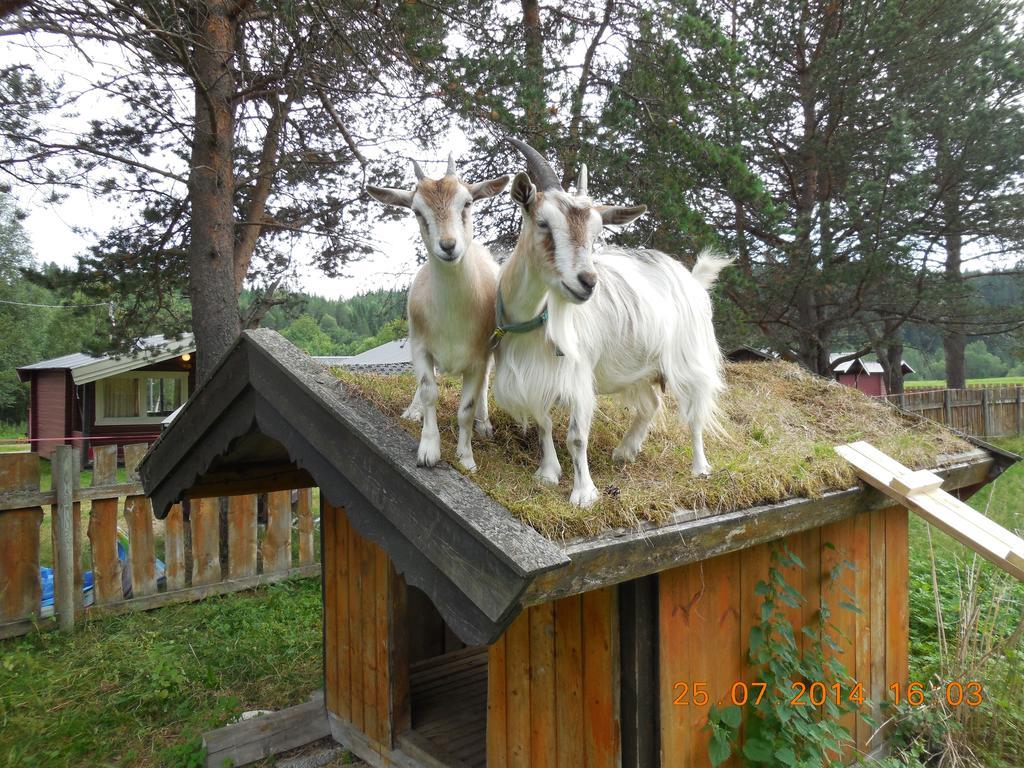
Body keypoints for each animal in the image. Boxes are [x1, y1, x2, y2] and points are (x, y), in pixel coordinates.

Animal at [370, 153, 509, 473]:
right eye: (416, 211)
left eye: (467, 202)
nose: (448, 246)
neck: (453, 319)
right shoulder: (421, 347)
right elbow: (429, 391)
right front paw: (428, 450)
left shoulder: (478, 357)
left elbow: (466, 408)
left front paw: (466, 458)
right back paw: (412, 411)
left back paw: (484, 424)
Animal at [493, 139, 729, 507]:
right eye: (543, 222)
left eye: (596, 234)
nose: (588, 282)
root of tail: (691, 278)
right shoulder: (536, 374)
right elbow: (544, 422)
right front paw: (547, 473)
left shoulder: (577, 374)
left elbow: (576, 436)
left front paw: (583, 493)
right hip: (639, 366)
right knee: (651, 404)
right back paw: (625, 451)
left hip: (689, 359)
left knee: (695, 413)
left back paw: (700, 467)